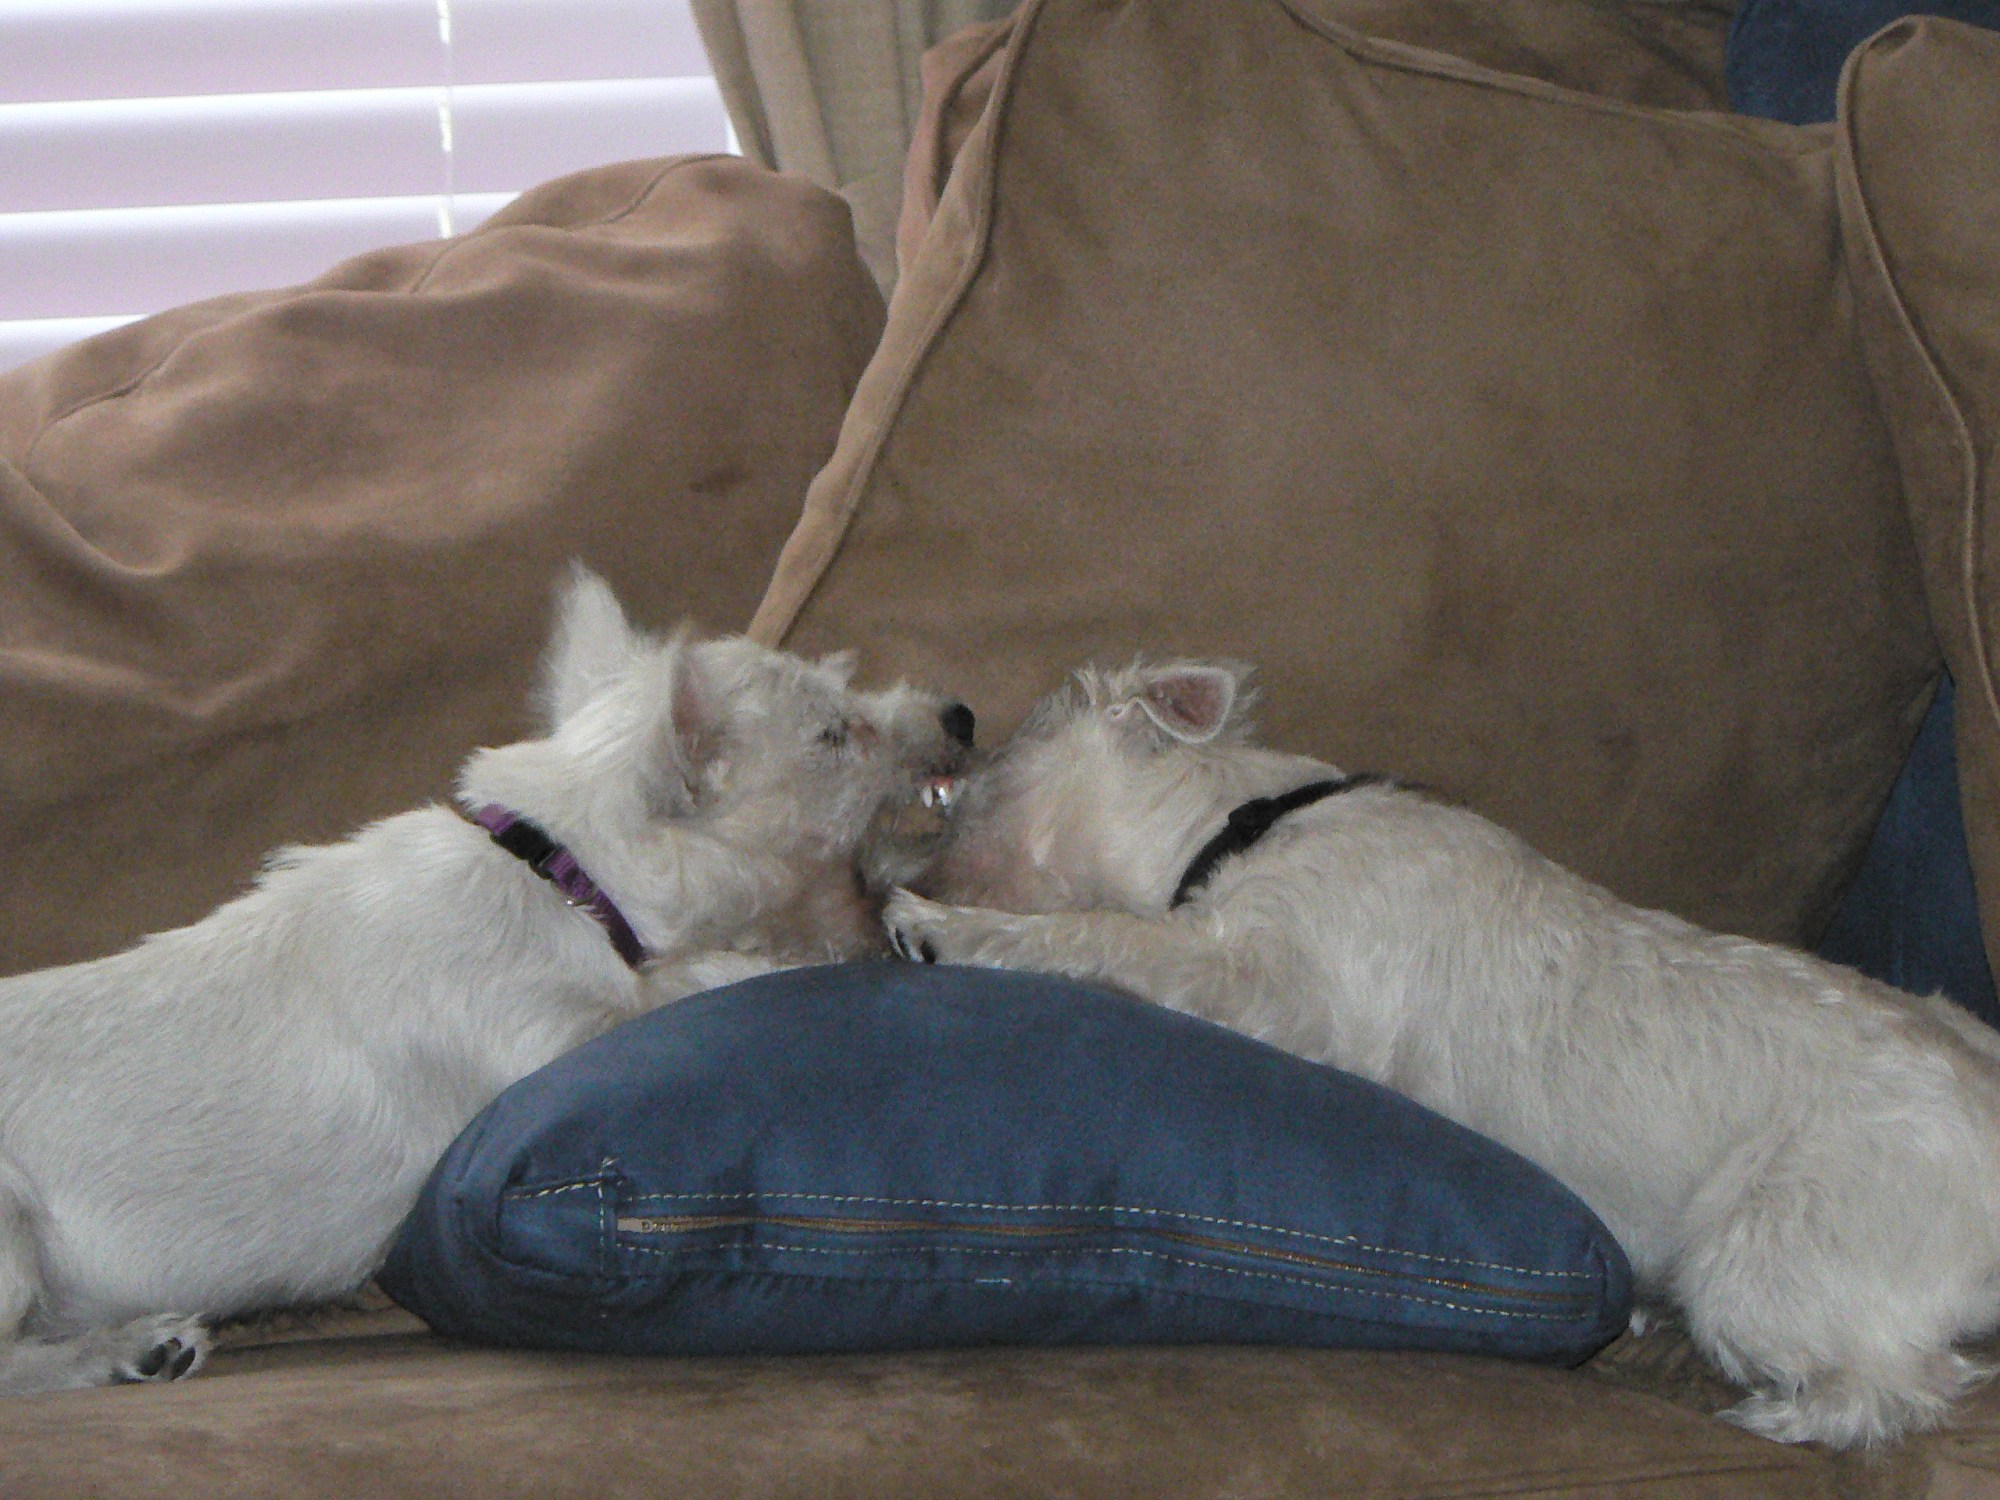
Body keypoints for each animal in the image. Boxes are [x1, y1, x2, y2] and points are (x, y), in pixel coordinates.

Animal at [0, 565, 972, 1396]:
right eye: (835, 734)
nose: (960, 712)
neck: (567, 879)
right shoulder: (544, 1038)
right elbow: (685, 982)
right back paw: (128, 1349)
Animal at [884, 657, 2000, 1448]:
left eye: (977, 783)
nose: (910, 872)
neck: (1245, 823)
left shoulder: (1265, 981)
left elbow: (1098, 939)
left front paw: (936, 925)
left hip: (1764, 1256)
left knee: (1904, 1381)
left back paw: (1777, 1411)